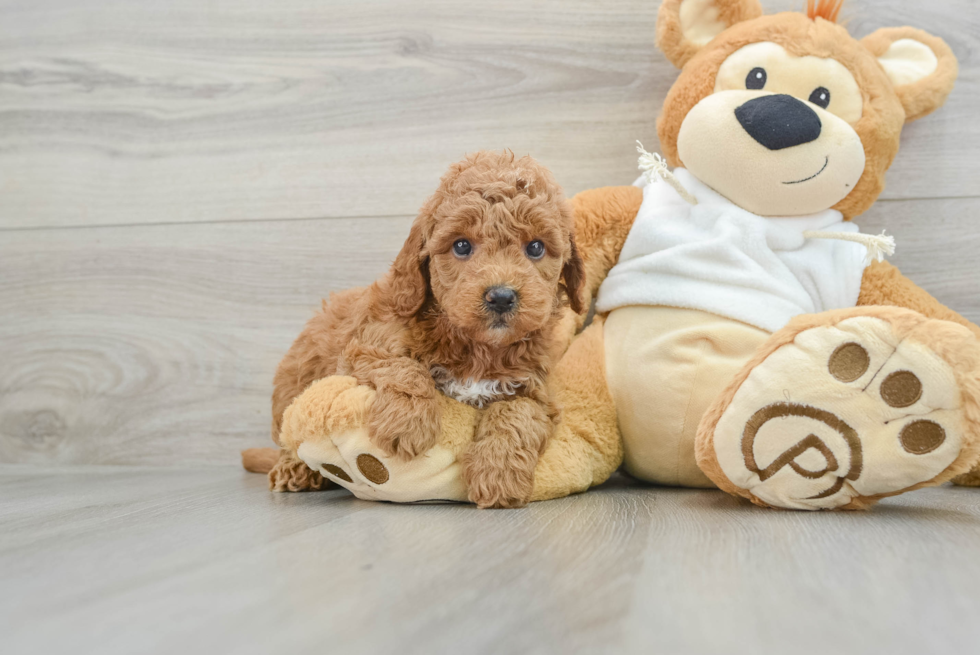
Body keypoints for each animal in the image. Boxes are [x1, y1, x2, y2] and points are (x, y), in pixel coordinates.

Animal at [264, 151, 580, 510]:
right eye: (461, 245)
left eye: (536, 248)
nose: (501, 297)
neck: (477, 346)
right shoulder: (366, 344)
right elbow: (405, 368)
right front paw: (407, 423)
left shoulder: (534, 387)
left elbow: (518, 413)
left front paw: (498, 473)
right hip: (292, 388)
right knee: (289, 436)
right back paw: (295, 470)